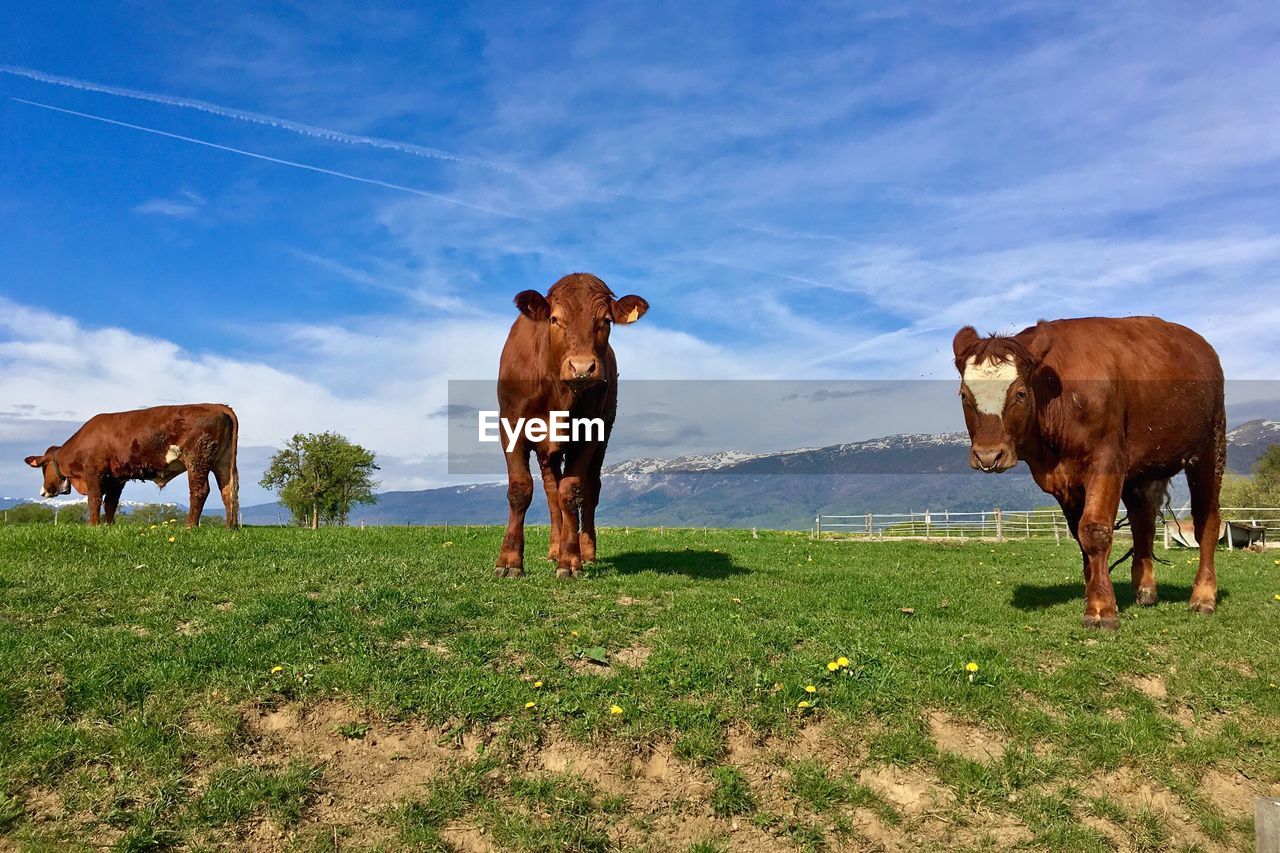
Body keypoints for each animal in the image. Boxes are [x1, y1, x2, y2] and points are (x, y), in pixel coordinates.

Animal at [23, 399, 240, 525]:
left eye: (43, 466)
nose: (43, 492)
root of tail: (216, 405)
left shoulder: (93, 471)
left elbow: (94, 500)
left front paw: (93, 525)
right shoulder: (116, 478)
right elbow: (111, 503)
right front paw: (109, 526)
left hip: (197, 460)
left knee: (200, 491)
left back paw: (189, 526)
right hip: (222, 461)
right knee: (228, 491)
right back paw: (230, 527)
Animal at [491, 272, 650, 578]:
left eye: (606, 321)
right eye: (554, 319)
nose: (582, 367)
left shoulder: (589, 433)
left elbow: (572, 492)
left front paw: (570, 560)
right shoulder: (511, 425)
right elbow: (520, 489)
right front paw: (509, 561)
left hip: (603, 434)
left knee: (590, 489)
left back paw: (585, 552)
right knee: (551, 491)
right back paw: (553, 549)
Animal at [957, 315, 1223, 627]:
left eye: (1020, 393)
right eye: (964, 395)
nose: (988, 455)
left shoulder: (1107, 460)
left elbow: (1094, 531)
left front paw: (1101, 607)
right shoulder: (1064, 481)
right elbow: (1080, 535)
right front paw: (1095, 593)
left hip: (1210, 448)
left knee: (1207, 521)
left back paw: (1203, 596)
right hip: (1143, 470)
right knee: (1142, 521)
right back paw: (1145, 589)